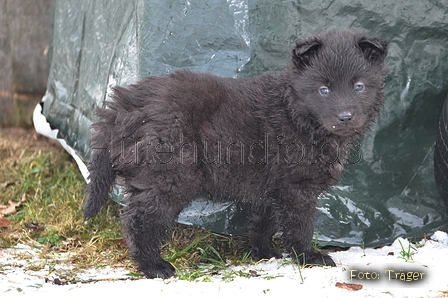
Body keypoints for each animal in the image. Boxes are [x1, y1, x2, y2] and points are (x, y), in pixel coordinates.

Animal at [85, 30, 388, 280]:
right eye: (323, 90)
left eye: (359, 86)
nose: (345, 117)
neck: (295, 112)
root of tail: (122, 105)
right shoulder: (295, 188)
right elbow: (300, 225)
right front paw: (308, 257)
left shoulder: (274, 186)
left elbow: (265, 222)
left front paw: (263, 253)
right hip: (169, 175)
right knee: (139, 221)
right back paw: (154, 267)